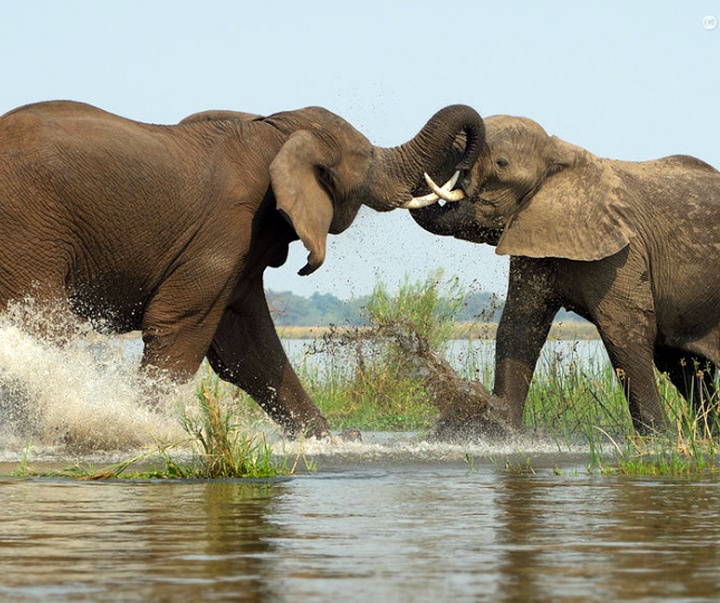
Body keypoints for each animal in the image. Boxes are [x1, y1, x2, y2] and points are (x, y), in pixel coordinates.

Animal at [0, 99, 486, 438]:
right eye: (367, 158)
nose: (464, 163)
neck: (276, 130)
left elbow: (247, 347)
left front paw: (334, 439)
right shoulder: (227, 227)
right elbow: (179, 330)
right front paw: (136, 428)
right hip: (27, 225)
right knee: (47, 326)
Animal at [410, 114, 720, 434]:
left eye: (502, 163)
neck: (559, 154)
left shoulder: (623, 251)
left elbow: (623, 330)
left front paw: (657, 436)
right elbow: (520, 326)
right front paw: (500, 428)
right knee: (683, 365)